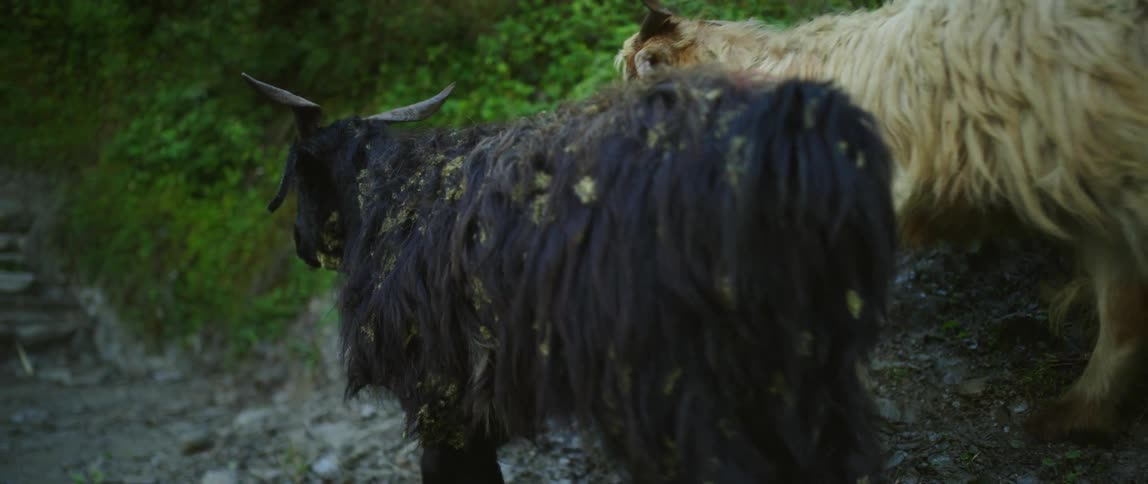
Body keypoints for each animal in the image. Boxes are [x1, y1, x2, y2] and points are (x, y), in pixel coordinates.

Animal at [244, 66, 898, 483]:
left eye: (301, 176)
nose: (300, 245)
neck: (389, 194)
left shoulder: (437, 389)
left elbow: (452, 471)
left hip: (689, 385)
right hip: (804, 369)